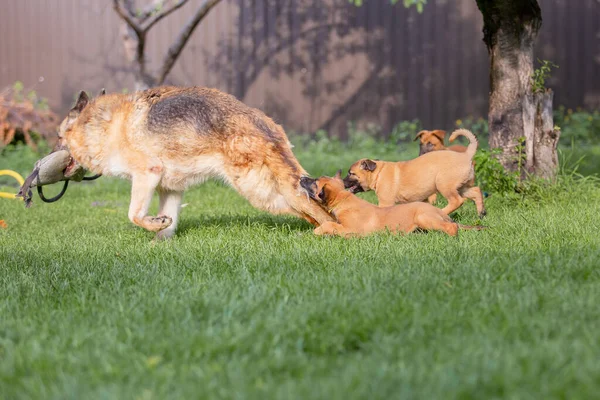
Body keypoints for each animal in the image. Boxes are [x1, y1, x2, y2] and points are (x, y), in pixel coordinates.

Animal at [55, 86, 332, 239]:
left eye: (58, 137)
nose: (50, 153)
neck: (108, 125)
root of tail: (262, 124)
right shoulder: (170, 189)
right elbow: (166, 223)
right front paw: (159, 239)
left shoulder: (147, 174)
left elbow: (134, 214)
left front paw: (153, 224)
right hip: (273, 194)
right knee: (314, 212)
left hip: (260, 192)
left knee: (321, 214)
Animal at [298, 170, 482, 238]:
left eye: (314, 182)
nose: (301, 178)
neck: (344, 200)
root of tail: (441, 213)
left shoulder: (352, 231)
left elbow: (329, 224)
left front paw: (316, 232)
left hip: (424, 217)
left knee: (452, 227)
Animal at [342, 129, 488, 219]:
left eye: (351, 173)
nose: (341, 182)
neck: (378, 172)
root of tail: (466, 155)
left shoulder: (385, 202)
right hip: (461, 186)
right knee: (476, 191)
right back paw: (481, 213)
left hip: (444, 184)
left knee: (457, 201)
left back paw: (443, 212)